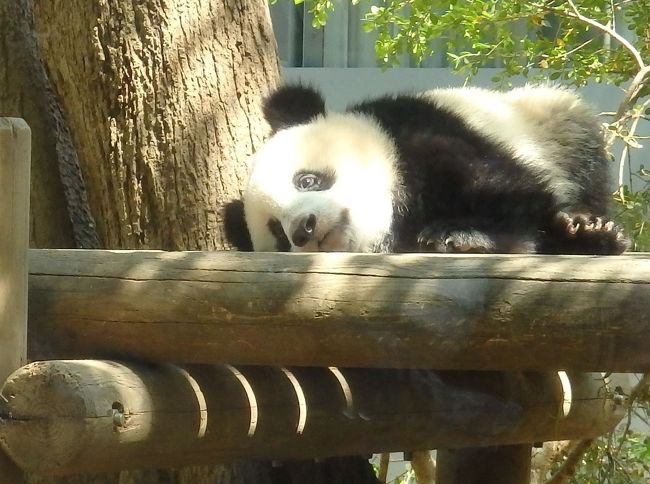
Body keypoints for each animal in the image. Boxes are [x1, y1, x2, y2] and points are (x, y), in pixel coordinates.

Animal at [238, 84, 628, 255]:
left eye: (306, 180)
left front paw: (460, 234)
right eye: (278, 233)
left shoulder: (417, 132)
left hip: (550, 123)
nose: (303, 229)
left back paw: (589, 225)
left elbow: (514, 191)